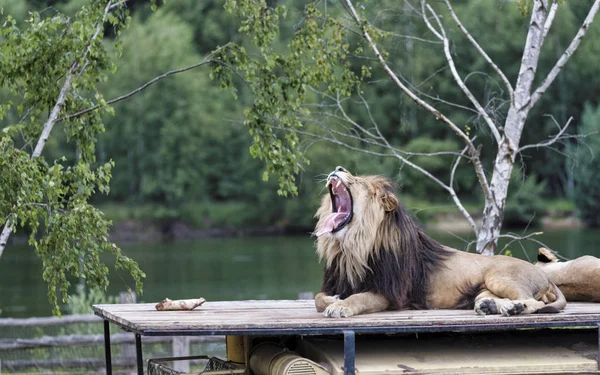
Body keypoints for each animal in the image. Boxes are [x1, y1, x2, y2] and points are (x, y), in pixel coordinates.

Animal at [314, 167, 568, 318]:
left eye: (358, 181)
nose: (338, 169)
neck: (351, 248)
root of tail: (545, 275)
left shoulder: (391, 294)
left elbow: (360, 297)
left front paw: (340, 306)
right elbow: (318, 298)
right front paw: (333, 299)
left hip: (500, 277)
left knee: (532, 302)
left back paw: (515, 308)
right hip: (483, 291)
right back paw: (492, 306)